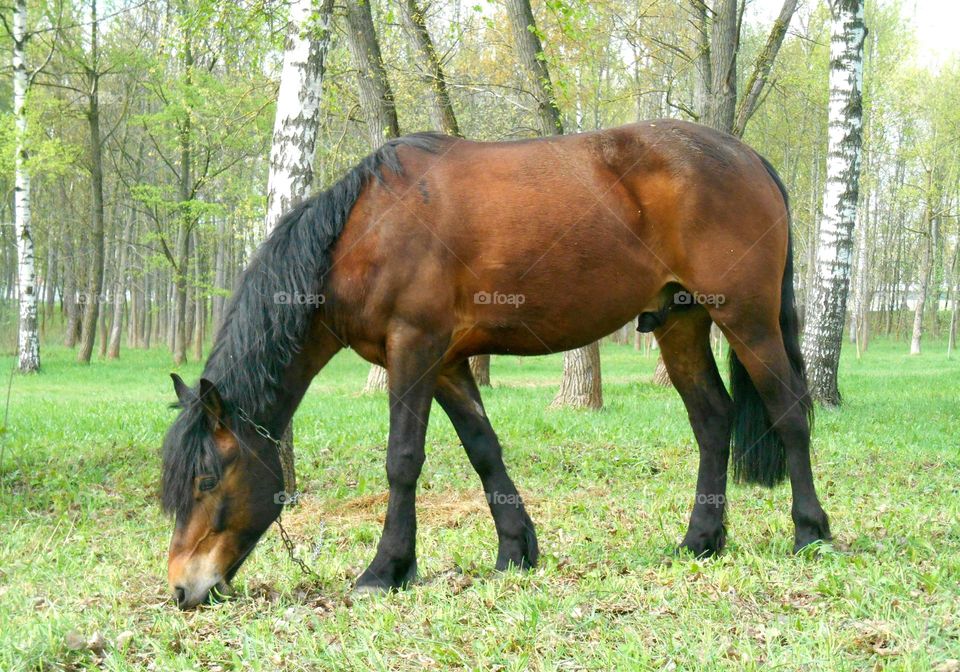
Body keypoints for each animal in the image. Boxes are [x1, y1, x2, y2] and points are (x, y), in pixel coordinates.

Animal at [161, 119, 828, 608]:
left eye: (206, 481)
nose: (183, 589)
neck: (365, 232)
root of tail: (748, 157)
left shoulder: (415, 348)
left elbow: (403, 460)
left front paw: (385, 569)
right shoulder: (449, 363)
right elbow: (484, 450)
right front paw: (515, 551)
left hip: (746, 318)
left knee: (791, 412)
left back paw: (811, 533)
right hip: (680, 322)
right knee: (712, 420)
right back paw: (700, 541)